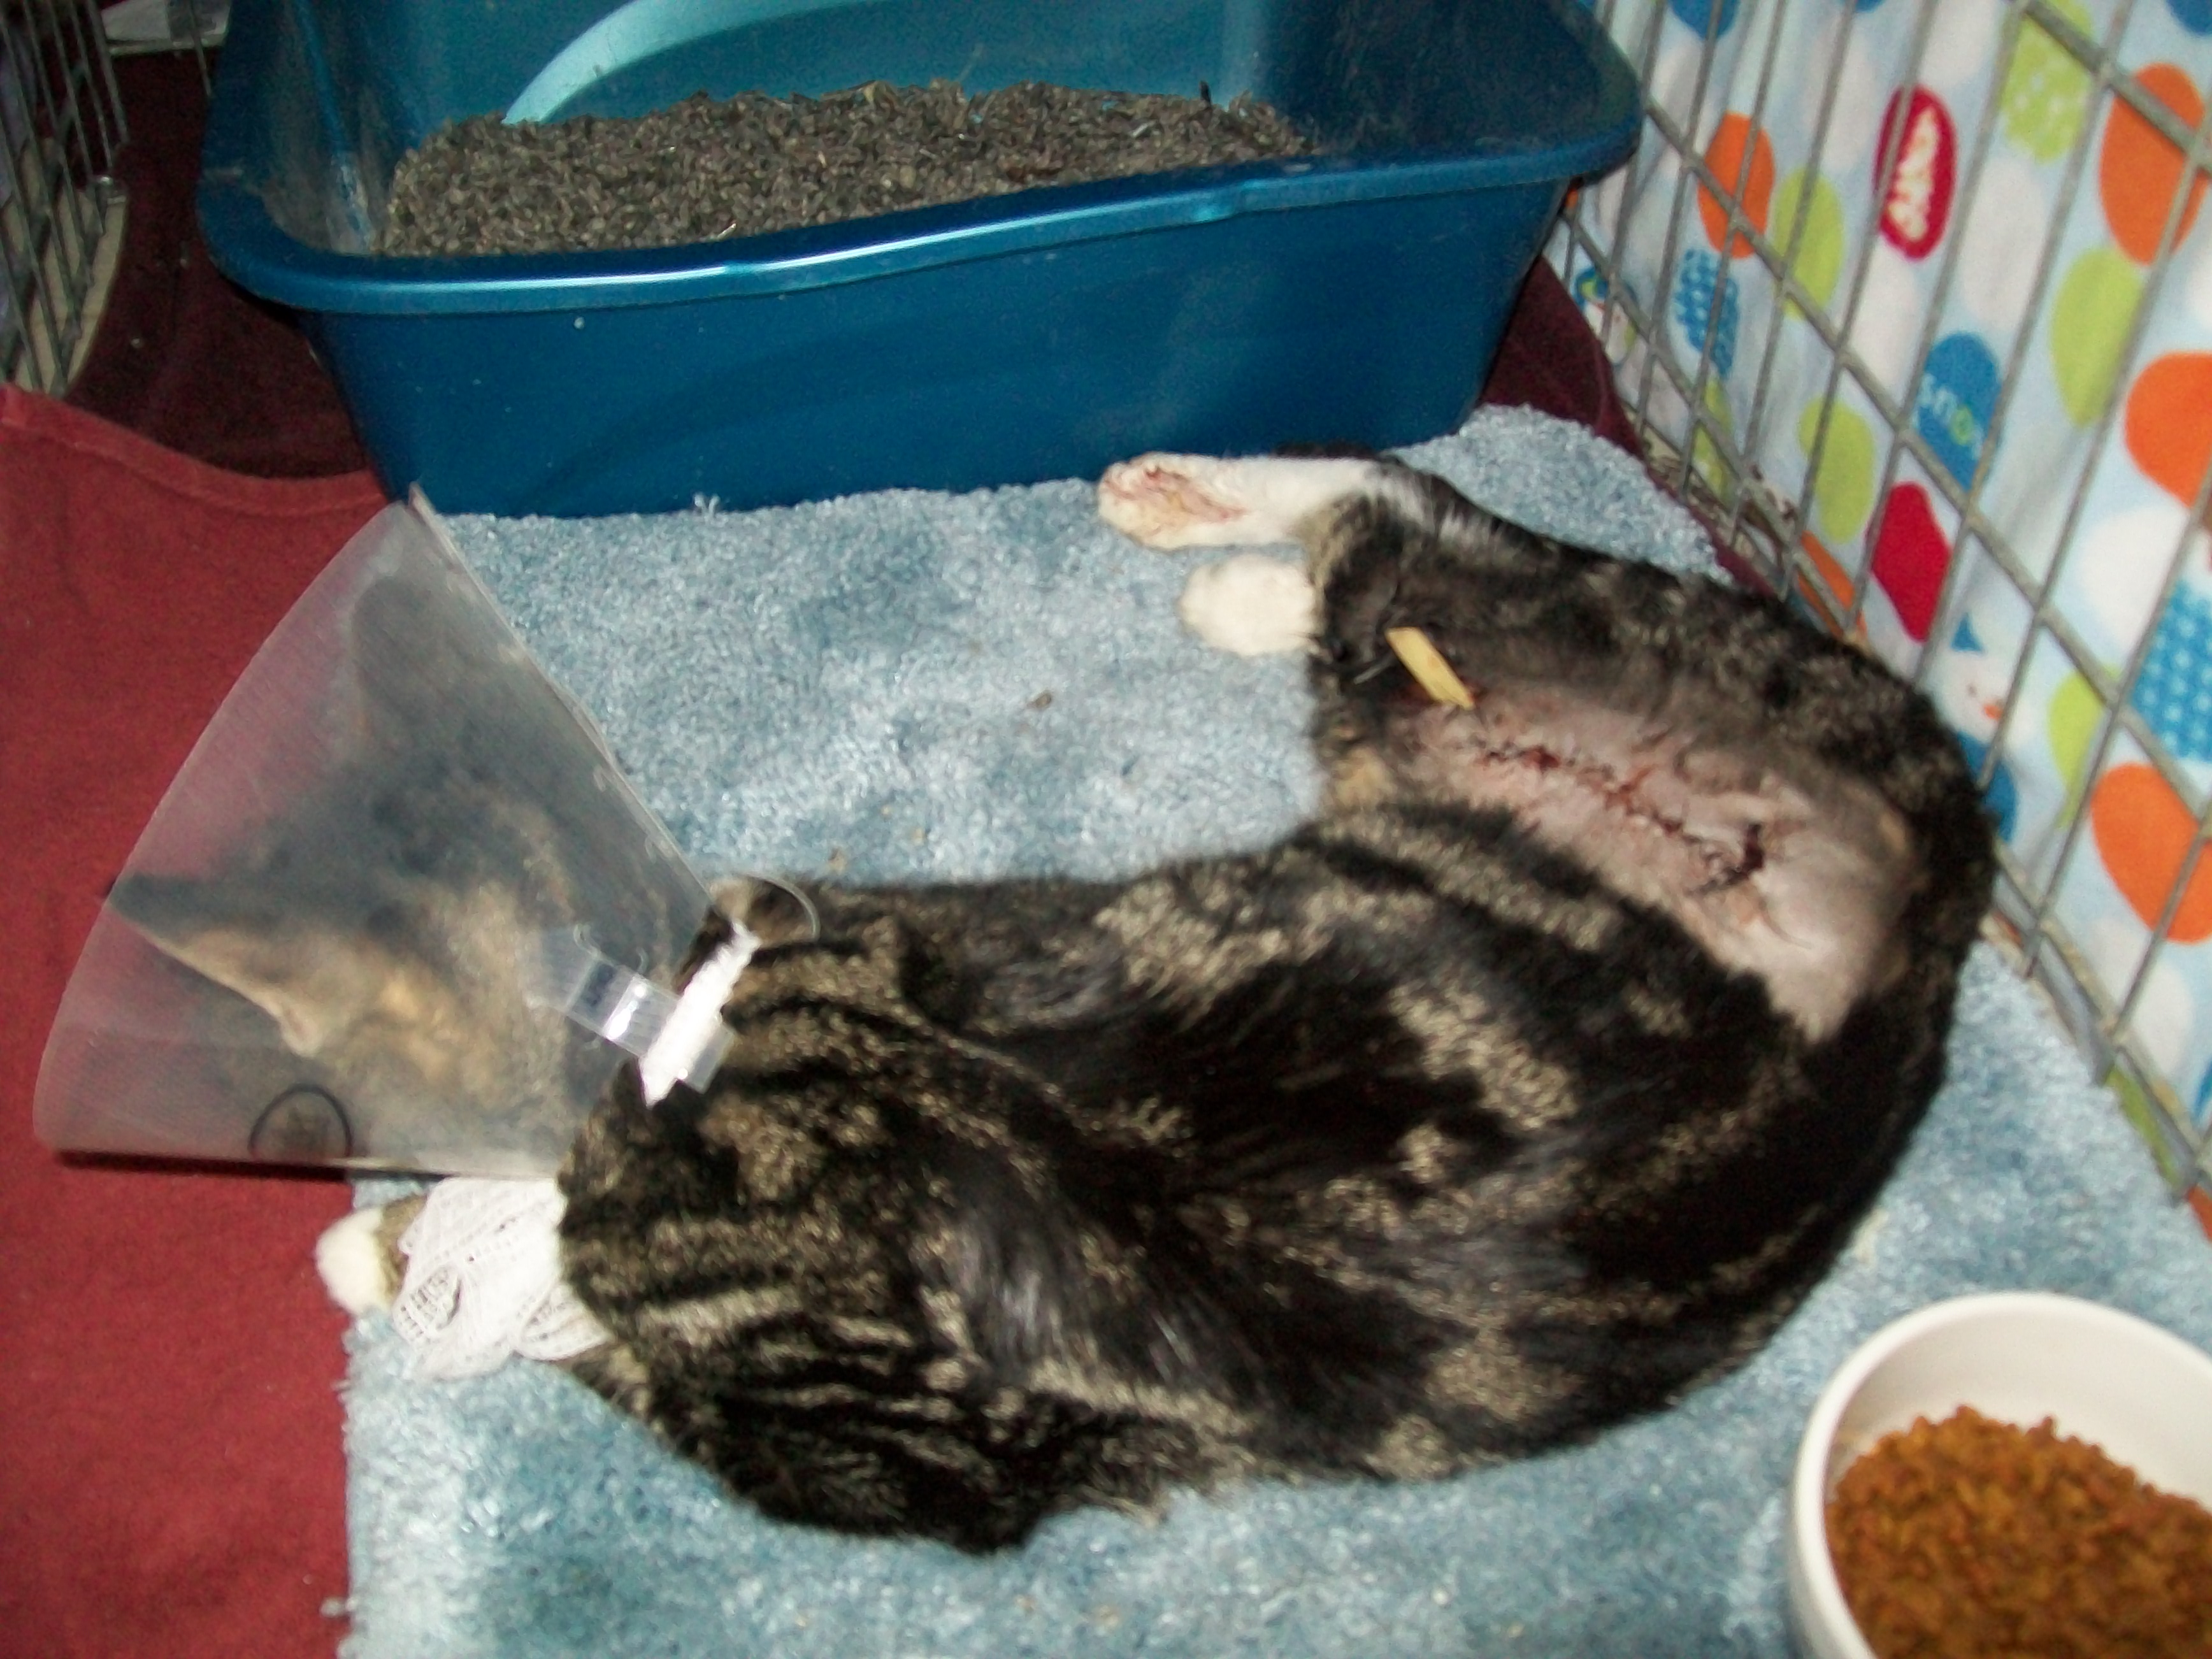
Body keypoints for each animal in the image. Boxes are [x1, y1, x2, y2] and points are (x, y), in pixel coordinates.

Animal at [194, 448, 1995, 1550]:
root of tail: (1939, 907)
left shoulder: (890, 1458)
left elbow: (615, 1356)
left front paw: (394, 1253)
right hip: (1490, 659)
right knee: (1401, 526)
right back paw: (1205, 536)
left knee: (1400, 506)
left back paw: (1202, 536)